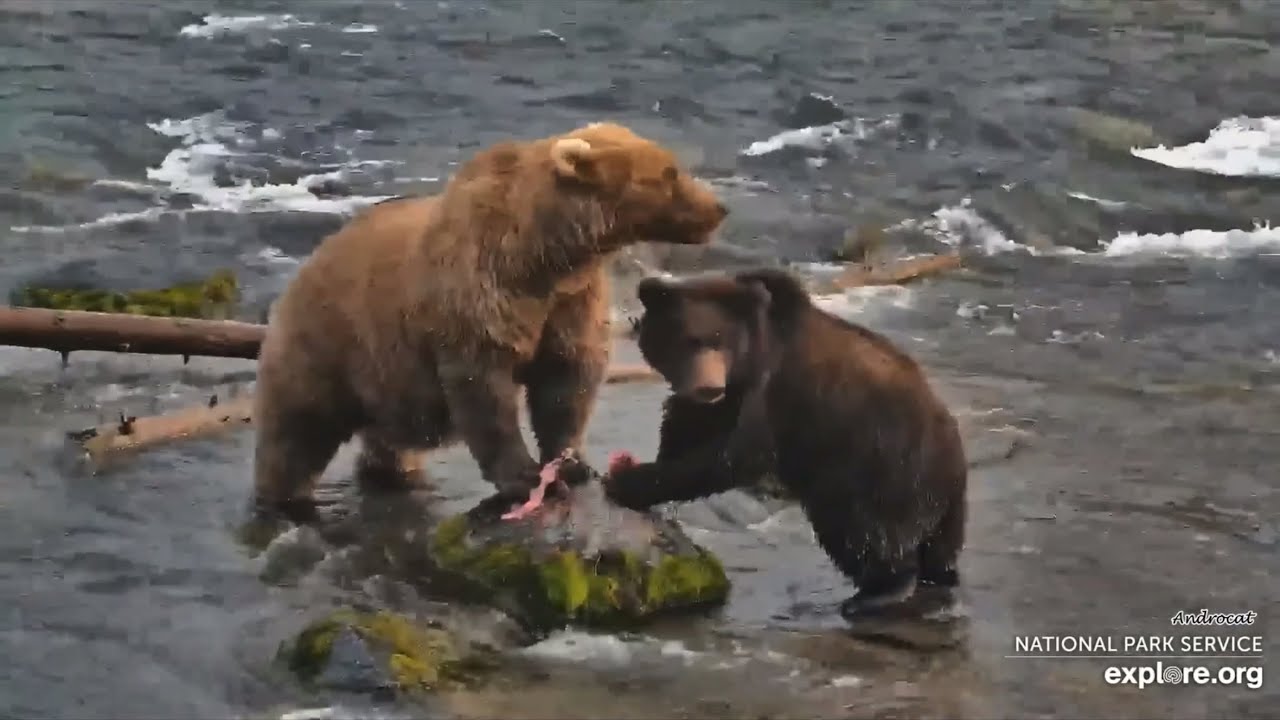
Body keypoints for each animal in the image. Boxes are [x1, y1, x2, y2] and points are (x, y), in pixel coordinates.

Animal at [251, 122, 729, 518]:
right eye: (668, 174)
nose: (719, 208)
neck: (545, 256)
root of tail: (306, 265)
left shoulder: (572, 299)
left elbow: (568, 377)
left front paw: (573, 465)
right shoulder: (481, 293)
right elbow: (485, 390)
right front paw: (524, 478)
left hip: (386, 380)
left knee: (389, 437)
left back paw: (393, 471)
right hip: (326, 343)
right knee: (296, 432)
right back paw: (285, 498)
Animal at [601, 267, 967, 618]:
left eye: (720, 341)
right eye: (688, 340)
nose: (708, 386)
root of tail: (955, 464)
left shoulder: (772, 390)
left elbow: (734, 455)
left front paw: (624, 481)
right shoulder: (722, 400)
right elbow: (687, 427)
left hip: (881, 467)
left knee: (862, 529)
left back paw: (875, 594)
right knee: (936, 550)